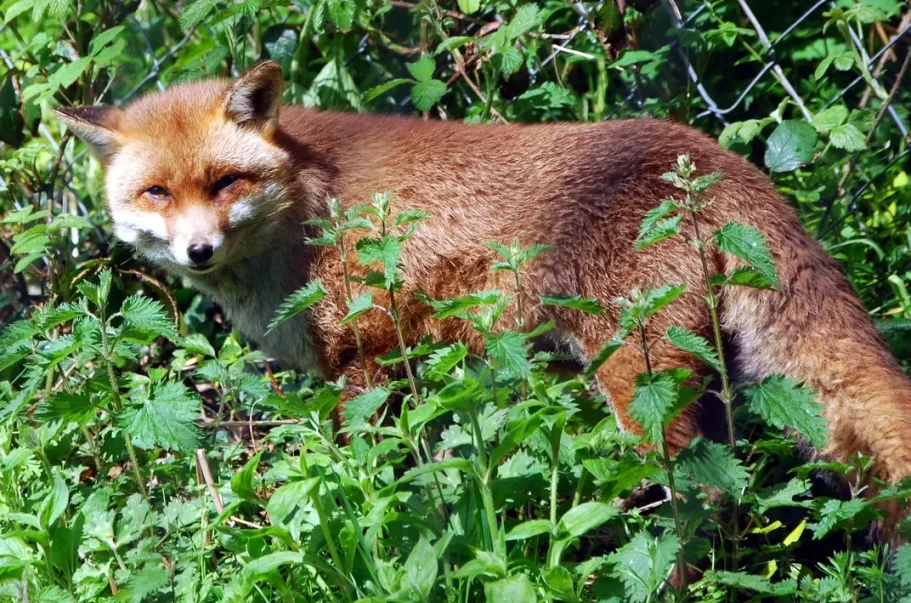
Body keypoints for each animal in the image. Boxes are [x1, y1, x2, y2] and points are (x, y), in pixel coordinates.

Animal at [56, 60, 911, 531]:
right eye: (157, 193)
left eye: (225, 182)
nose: (197, 249)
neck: (305, 201)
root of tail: (708, 158)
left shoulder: (369, 358)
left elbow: (370, 478)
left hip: (636, 378)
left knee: (690, 500)